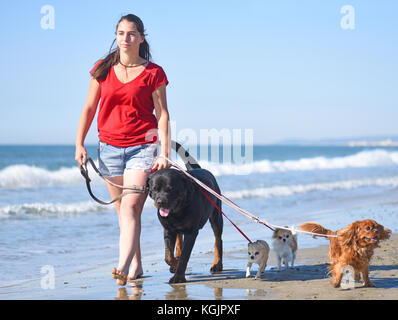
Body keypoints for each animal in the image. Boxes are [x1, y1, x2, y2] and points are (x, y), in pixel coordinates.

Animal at [146, 142, 222, 282]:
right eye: (155, 189)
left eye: (170, 189)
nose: (160, 201)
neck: (177, 211)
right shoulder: (168, 230)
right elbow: (168, 256)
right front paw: (174, 263)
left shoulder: (191, 232)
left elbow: (184, 257)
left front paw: (178, 276)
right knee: (179, 240)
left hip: (216, 215)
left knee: (218, 240)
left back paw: (217, 264)